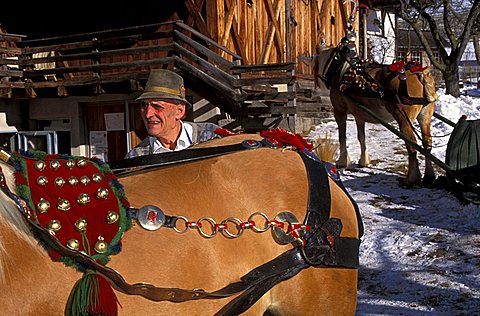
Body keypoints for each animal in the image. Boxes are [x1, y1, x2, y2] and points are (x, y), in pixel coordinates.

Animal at [314, 41, 440, 186]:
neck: (342, 71)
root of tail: (420, 73)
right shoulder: (359, 115)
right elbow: (361, 137)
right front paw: (364, 161)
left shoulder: (339, 111)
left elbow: (342, 137)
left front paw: (342, 161)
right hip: (425, 117)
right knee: (427, 143)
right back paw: (429, 176)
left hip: (404, 119)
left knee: (412, 145)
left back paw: (411, 178)